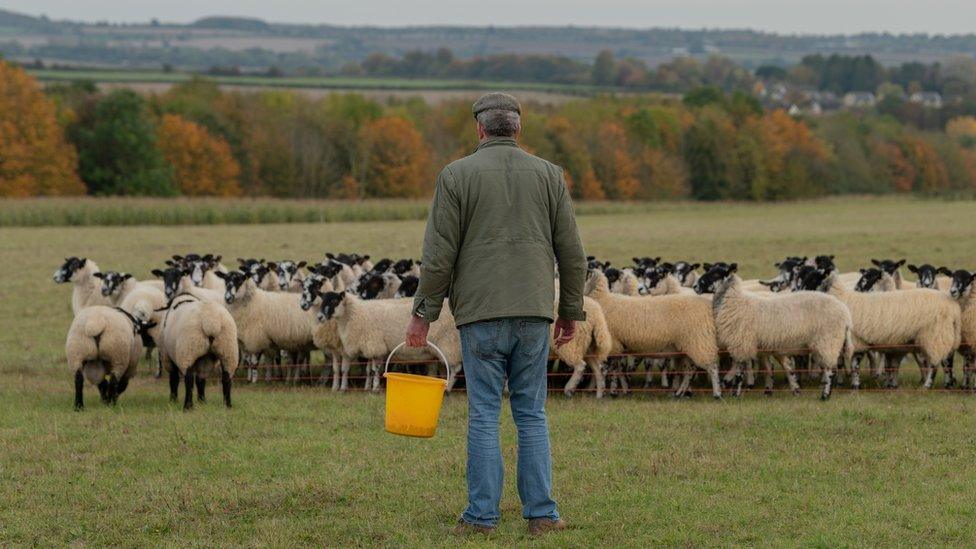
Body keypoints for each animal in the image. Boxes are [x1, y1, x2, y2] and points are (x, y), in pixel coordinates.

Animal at [314, 292, 464, 390]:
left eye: (334, 301)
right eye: (322, 301)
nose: (320, 317)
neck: (354, 315)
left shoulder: (375, 345)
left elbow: (375, 369)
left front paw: (375, 388)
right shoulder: (372, 347)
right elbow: (369, 369)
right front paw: (368, 387)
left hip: (450, 344)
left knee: (455, 368)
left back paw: (448, 388)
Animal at [584, 268, 720, 396]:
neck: (603, 300)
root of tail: (707, 304)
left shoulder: (611, 344)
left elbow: (606, 369)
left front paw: (606, 392)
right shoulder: (618, 346)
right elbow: (617, 369)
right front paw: (621, 390)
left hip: (699, 342)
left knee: (712, 367)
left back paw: (716, 393)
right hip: (688, 347)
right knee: (689, 371)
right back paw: (680, 393)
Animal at [696, 264, 852, 398]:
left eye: (716, 274)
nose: (696, 286)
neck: (734, 301)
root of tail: (845, 312)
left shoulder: (741, 343)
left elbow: (740, 371)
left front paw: (735, 394)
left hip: (828, 340)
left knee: (830, 369)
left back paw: (825, 395)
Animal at [800, 266, 960, 390]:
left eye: (814, 279)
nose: (799, 292)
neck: (843, 298)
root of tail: (953, 307)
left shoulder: (858, 340)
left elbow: (855, 364)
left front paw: (855, 385)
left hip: (935, 335)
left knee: (936, 363)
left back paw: (928, 385)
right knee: (945, 361)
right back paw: (947, 384)